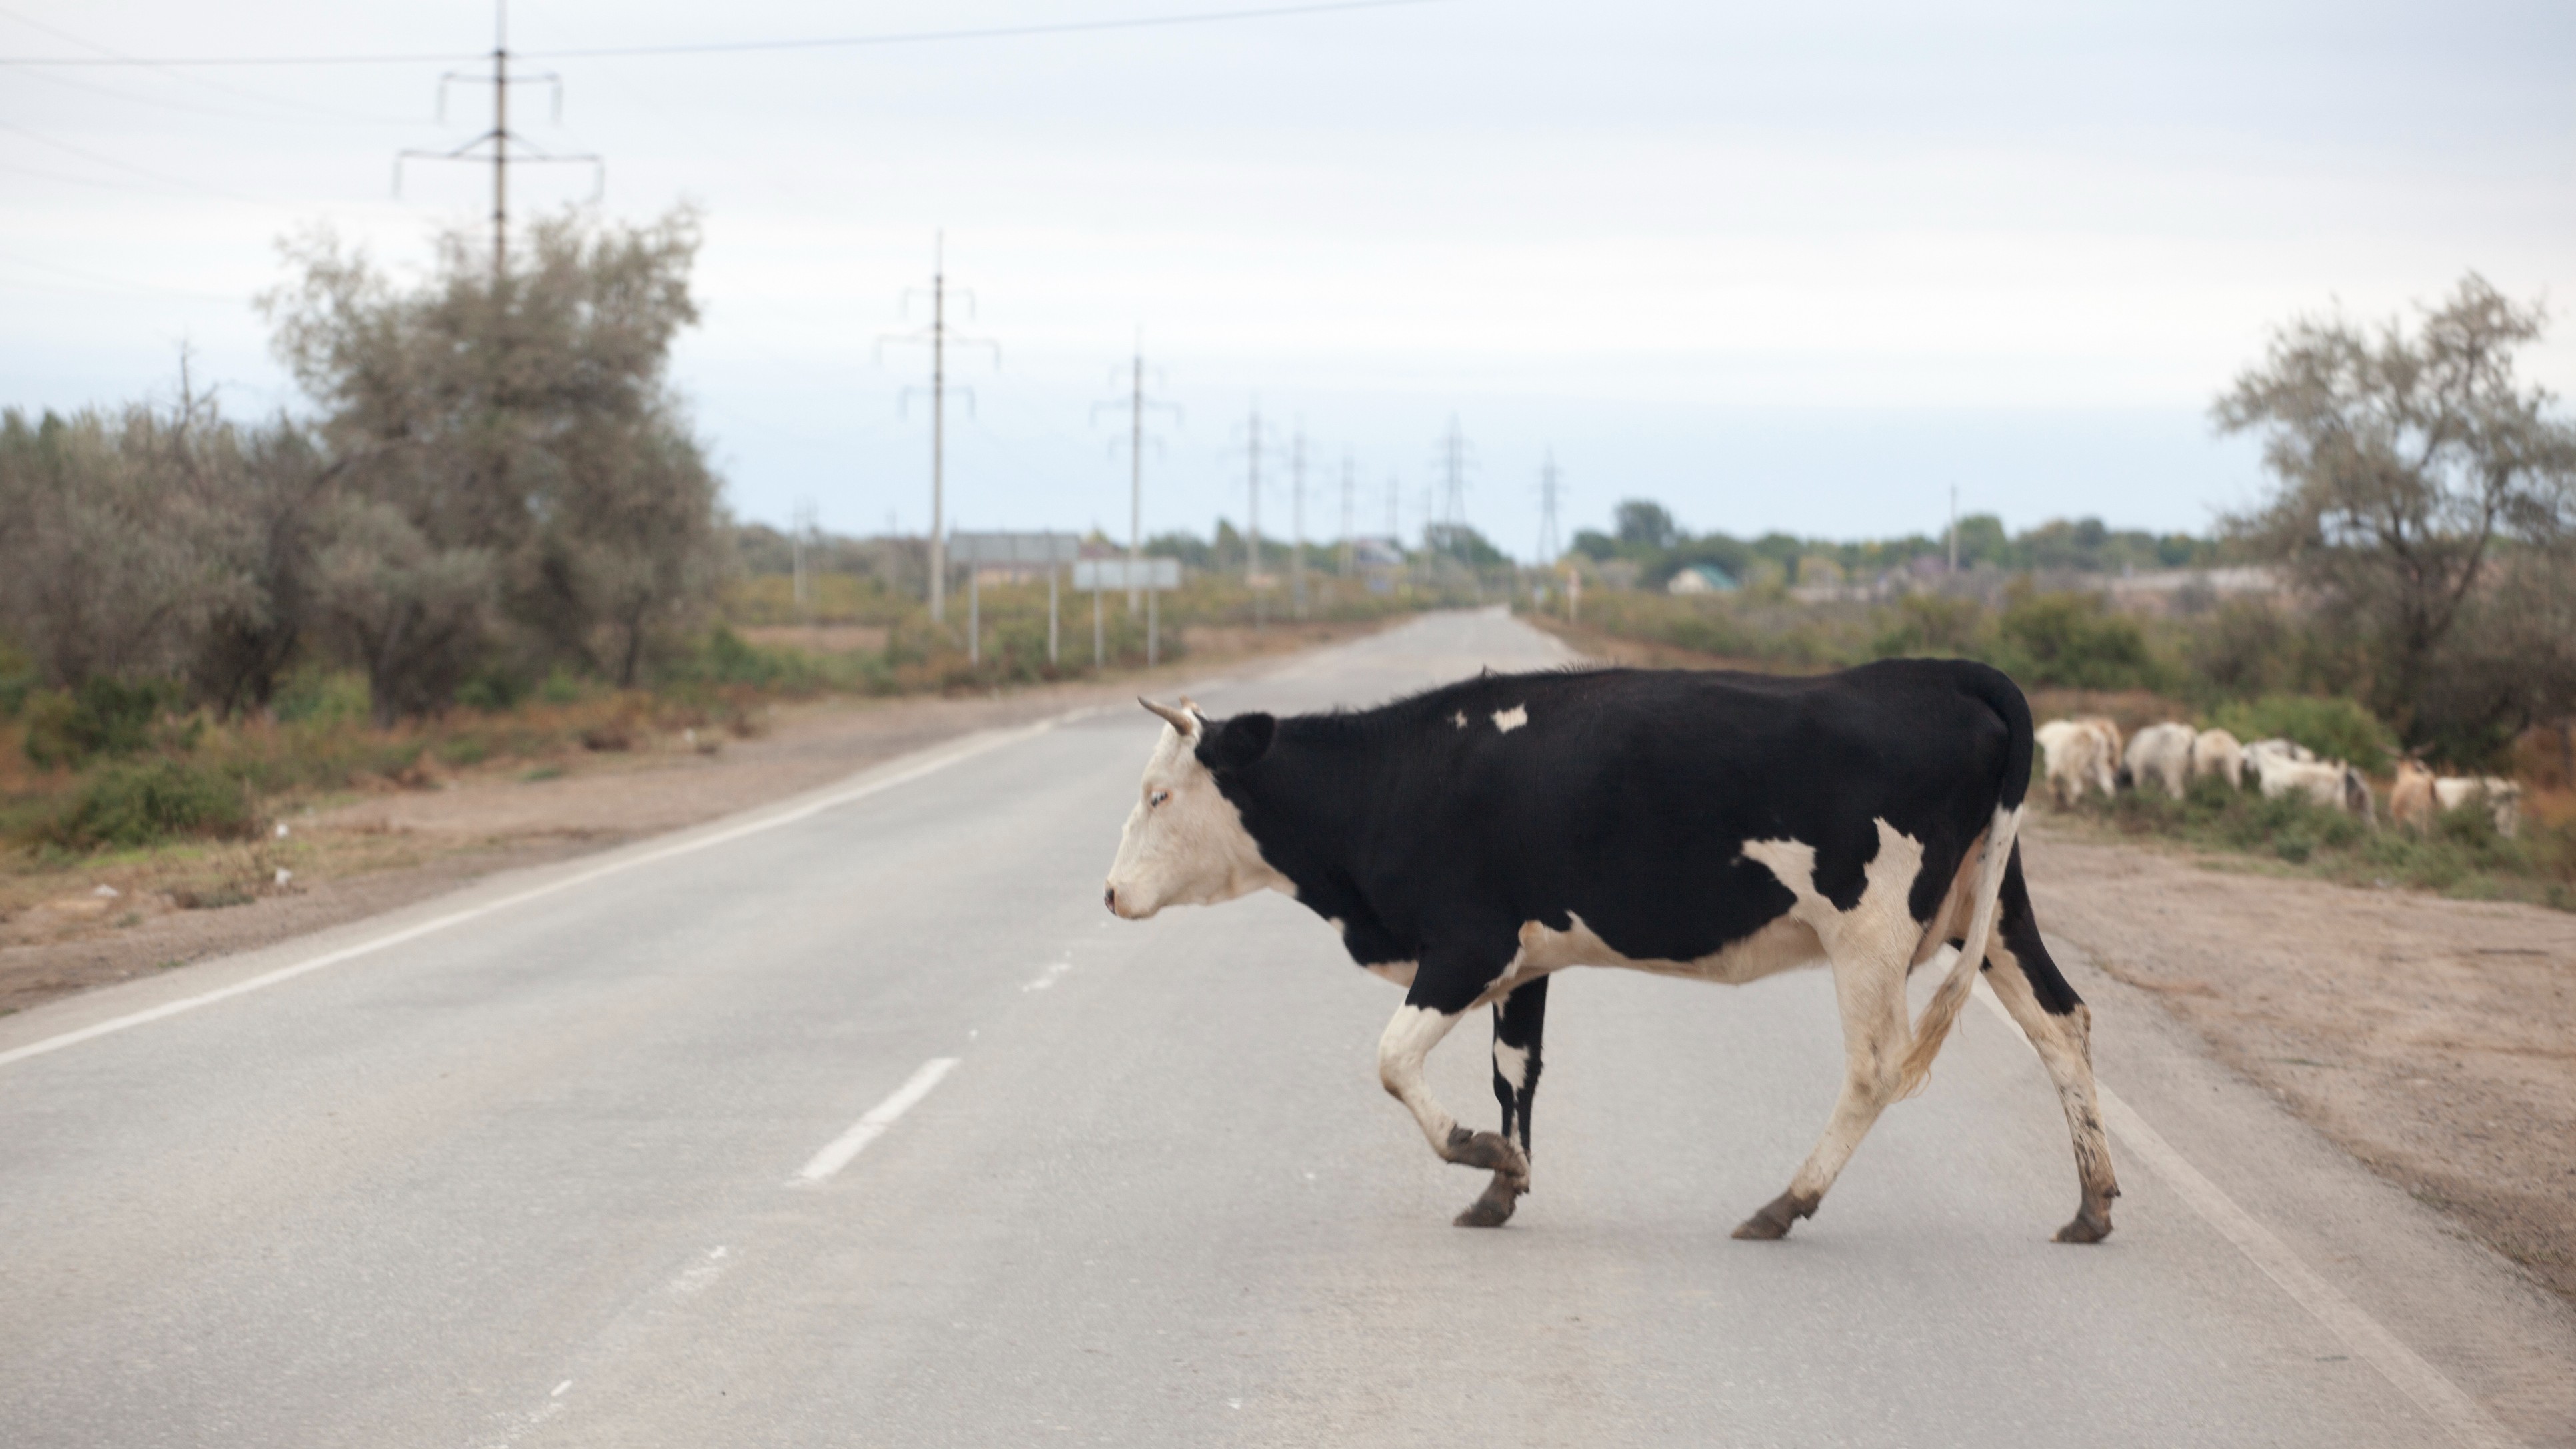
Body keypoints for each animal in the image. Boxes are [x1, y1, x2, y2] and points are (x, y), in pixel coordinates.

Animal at [1103, 660, 2120, 1245]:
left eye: (1158, 795)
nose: (1110, 893)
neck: (1405, 779)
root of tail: (1943, 671)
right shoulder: (1526, 961)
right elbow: (1514, 1070)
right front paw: (1502, 1185)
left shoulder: (1466, 944)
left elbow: (1393, 1061)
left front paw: (1477, 1154)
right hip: (1989, 910)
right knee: (2062, 1020)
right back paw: (2092, 1203)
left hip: (1872, 927)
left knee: (1875, 1067)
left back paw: (1785, 1202)